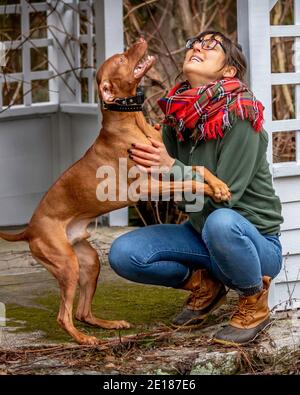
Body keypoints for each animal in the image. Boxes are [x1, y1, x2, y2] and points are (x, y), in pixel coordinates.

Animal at [0, 38, 231, 344]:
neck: (132, 122)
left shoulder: (166, 166)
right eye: (121, 59)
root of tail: (29, 229)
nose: (139, 40)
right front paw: (212, 190)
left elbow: (199, 169)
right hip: (66, 264)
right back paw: (84, 339)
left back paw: (109, 324)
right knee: (64, 316)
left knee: (82, 311)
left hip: (89, 262)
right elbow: (191, 181)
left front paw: (219, 185)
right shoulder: (147, 186)